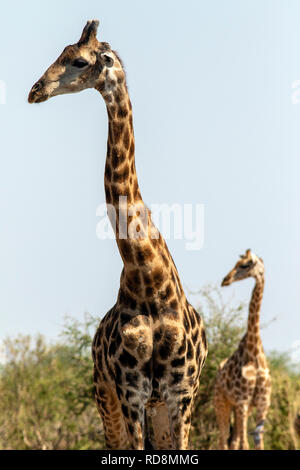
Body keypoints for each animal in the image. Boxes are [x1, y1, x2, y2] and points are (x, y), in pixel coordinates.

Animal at [28, 20, 207, 450]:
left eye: (79, 60)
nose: (35, 90)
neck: (148, 277)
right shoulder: (130, 393)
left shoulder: (181, 396)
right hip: (105, 398)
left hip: (160, 410)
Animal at [213, 248, 272, 450]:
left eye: (245, 265)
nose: (225, 280)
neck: (254, 352)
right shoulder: (242, 401)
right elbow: (244, 444)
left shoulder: (262, 405)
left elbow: (257, 444)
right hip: (222, 402)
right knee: (224, 439)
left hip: (235, 407)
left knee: (233, 440)